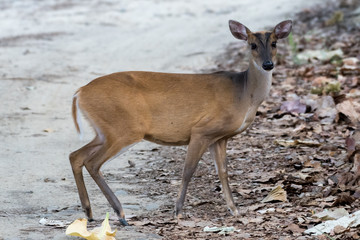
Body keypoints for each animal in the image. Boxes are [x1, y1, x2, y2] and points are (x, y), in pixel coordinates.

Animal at [68, 18, 292, 225]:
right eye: (252, 45)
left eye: (274, 43)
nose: (268, 64)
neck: (244, 94)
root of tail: (79, 92)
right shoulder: (202, 130)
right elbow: (188, 171)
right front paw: (178, 211)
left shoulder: (220, 137)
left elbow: (223, 172)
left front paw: (235, 210)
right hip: (124, 129)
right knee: (92, 162)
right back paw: (120, 214)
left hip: (105, 131)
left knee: (76, 155)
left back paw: (89, 212)